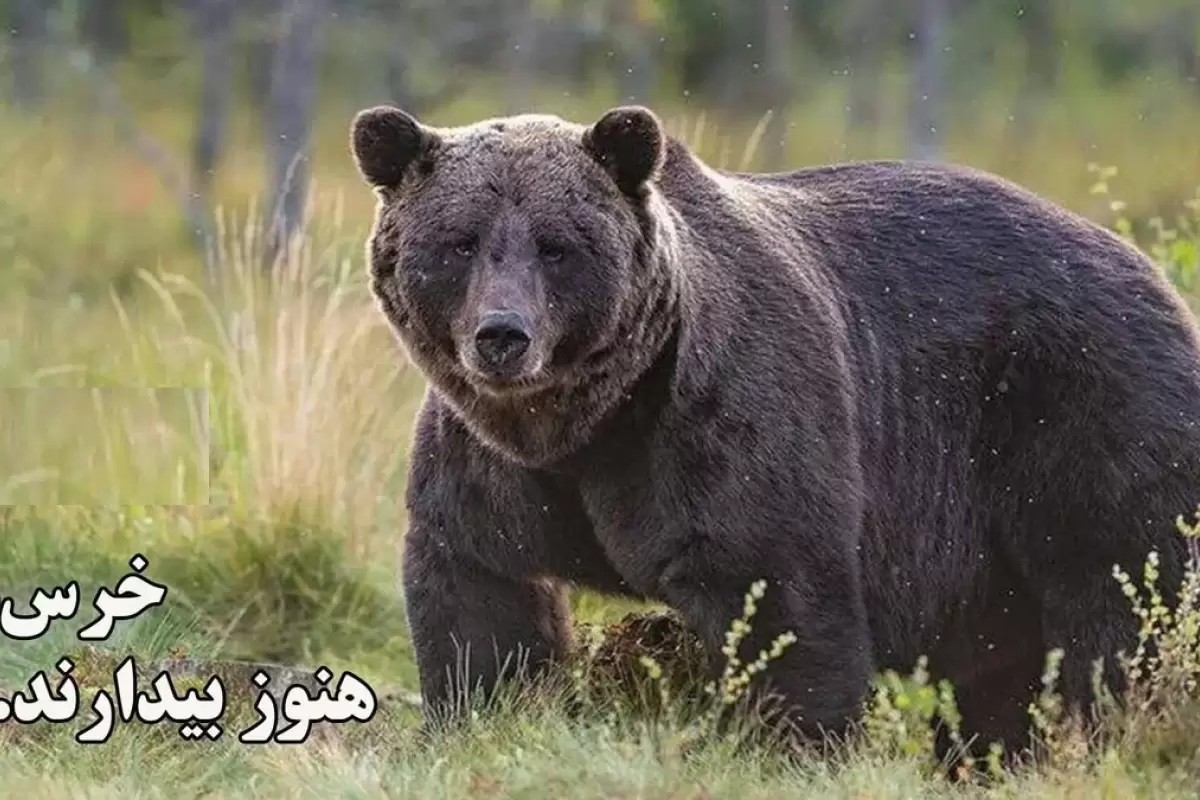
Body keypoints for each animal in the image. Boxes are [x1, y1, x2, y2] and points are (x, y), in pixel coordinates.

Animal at [345, 103, 1200, 762]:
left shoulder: (719, 423)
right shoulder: (491, 466)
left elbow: (779, 600)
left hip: (1082, 413)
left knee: (1121, 605)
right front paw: (481, 721)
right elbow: (482, 602)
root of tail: (1152, 270)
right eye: (459, 241)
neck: (585, 425)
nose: (503, 336)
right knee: (1001, 671)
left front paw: (793, 747)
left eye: (558, 246)